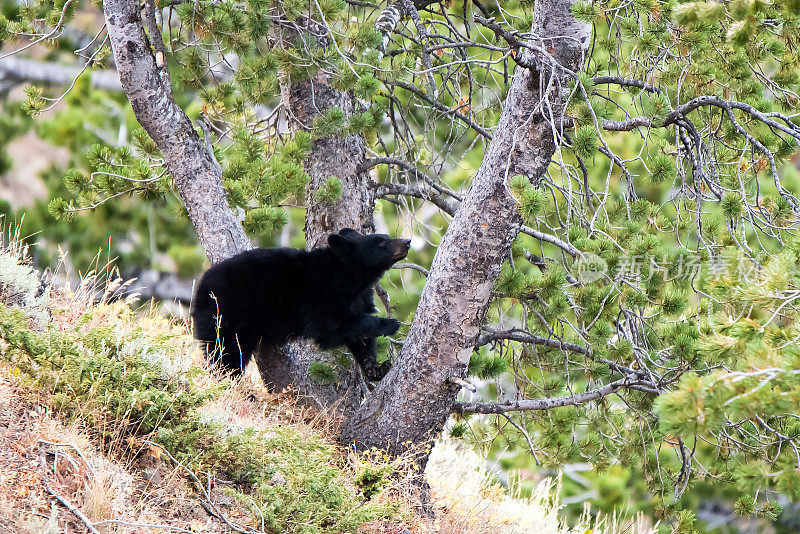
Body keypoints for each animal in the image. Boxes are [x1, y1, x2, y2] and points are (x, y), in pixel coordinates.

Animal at [191, 228, 410, 384]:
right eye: (380, 242)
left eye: (386, 236)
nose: (407, 241)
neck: (353, 277)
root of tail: (201, 287)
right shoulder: (322, 294)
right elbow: (331, 326)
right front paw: (389, 324)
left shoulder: (360, 298)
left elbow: (360, 340)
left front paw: (376, 369)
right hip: (227, 313)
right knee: (225, 353)